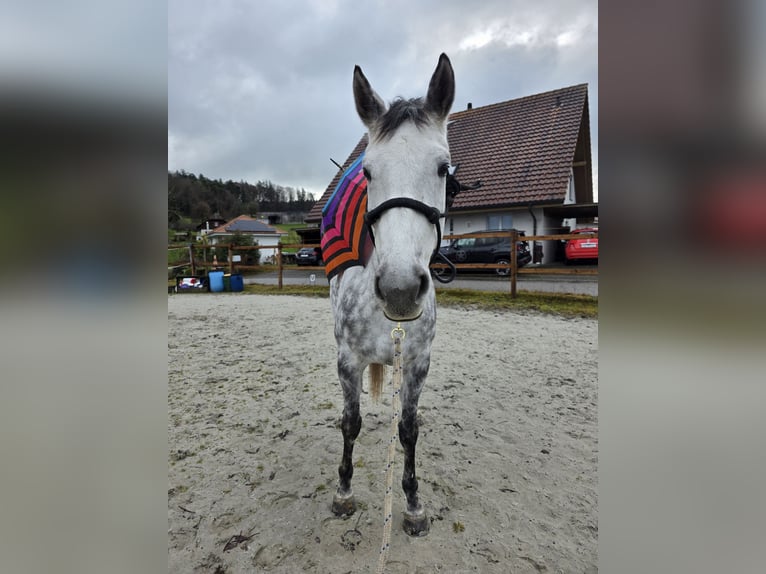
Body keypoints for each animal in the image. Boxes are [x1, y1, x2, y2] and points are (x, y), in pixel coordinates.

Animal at [328, 53, 455, 538]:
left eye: (443, 169)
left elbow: (408, 429)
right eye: (367, 171)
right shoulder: (347, 361)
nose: (400, 289)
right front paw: (344, 492)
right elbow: (351, 422)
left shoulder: (418, 363)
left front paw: (414, 503)